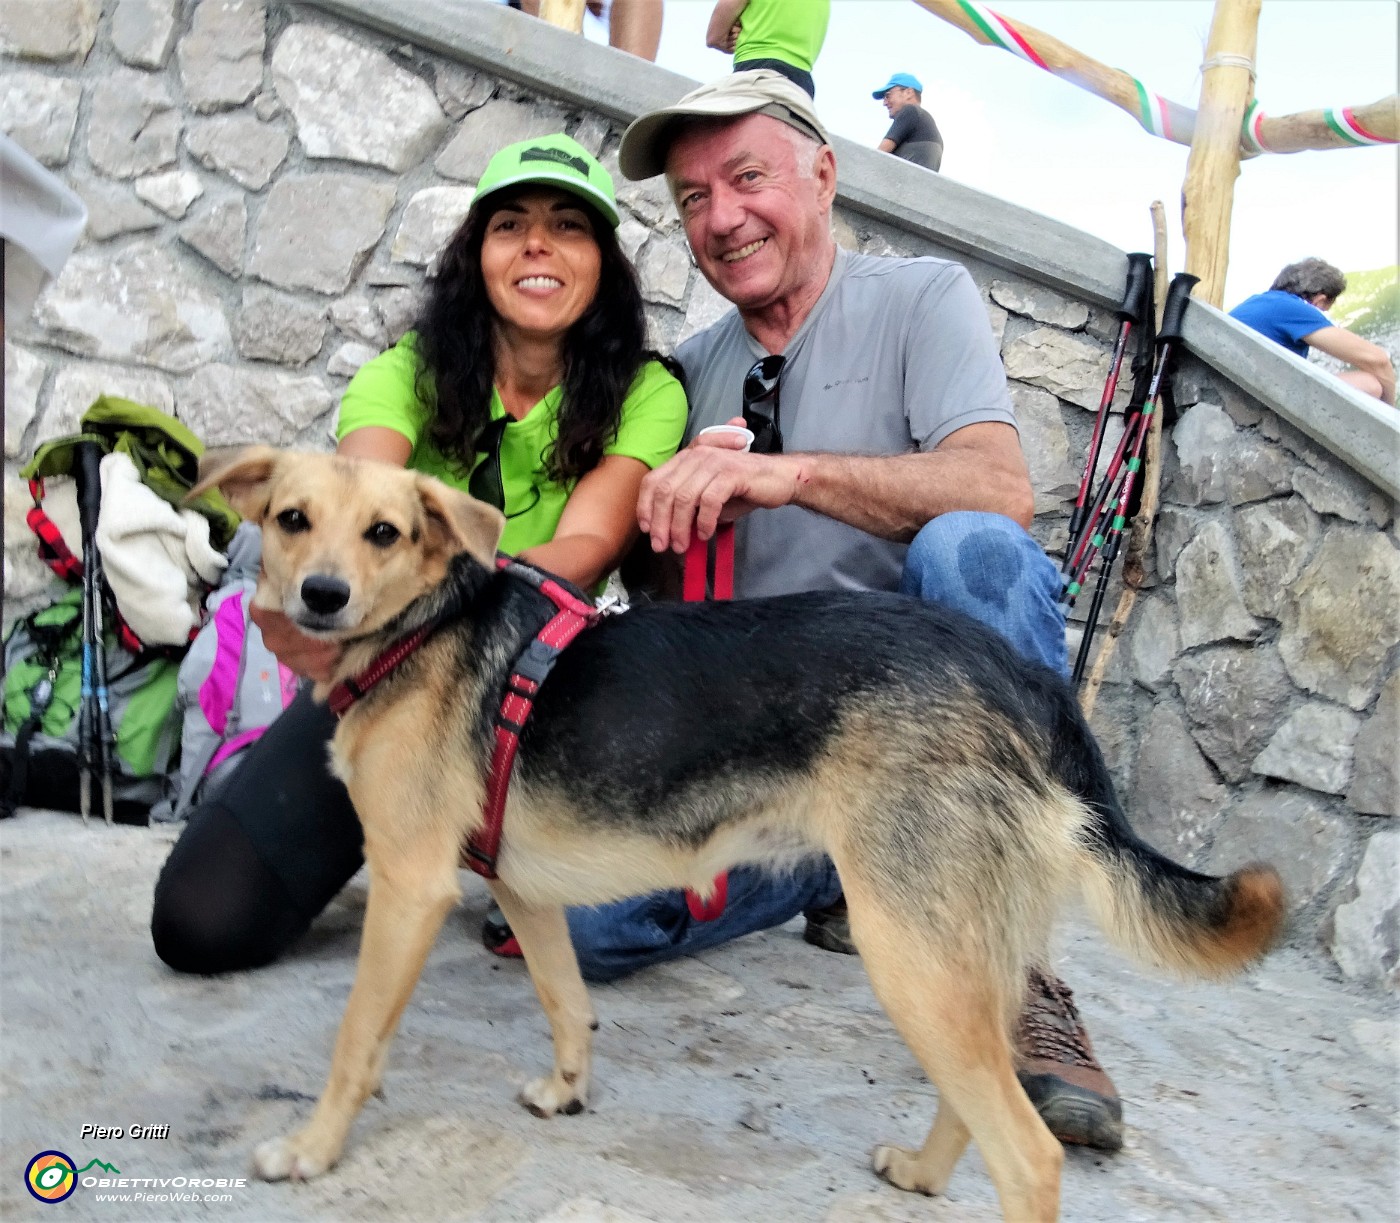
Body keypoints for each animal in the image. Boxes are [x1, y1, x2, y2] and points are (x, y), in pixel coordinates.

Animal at [197, 447, 1282, 1220]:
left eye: (383, 532)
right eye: (292, 519)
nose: (321, 595)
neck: (430, 623)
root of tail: (1024, 678)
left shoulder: (411, 881)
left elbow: (355, 1039)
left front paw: (308, 1151)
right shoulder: (522, 888)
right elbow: (565, 1000)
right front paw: (567, 1091)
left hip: (907, 945)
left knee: (1031, 1154)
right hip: (956, 945)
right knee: (981, 1088)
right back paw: (923, 1170)